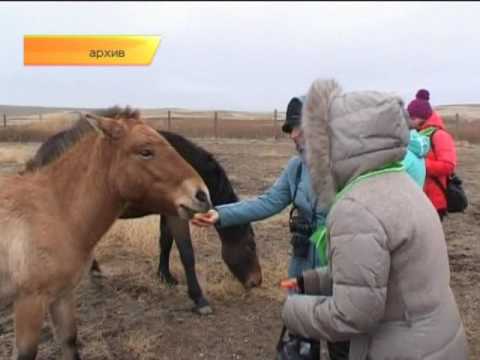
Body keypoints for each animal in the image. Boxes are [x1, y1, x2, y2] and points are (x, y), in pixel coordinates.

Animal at [1, 108, 212, 358]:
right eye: (145, 151)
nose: (202, 195)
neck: (55, 209)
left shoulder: (62, 296)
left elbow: (69, 341)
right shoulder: (29, 302)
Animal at [25, 109, 262, 316]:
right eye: (250, 245)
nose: (256, 281)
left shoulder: (169, 213)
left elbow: (165, 242)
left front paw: (165, 276)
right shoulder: (177, 215)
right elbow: (186, 252)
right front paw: (198, 298)